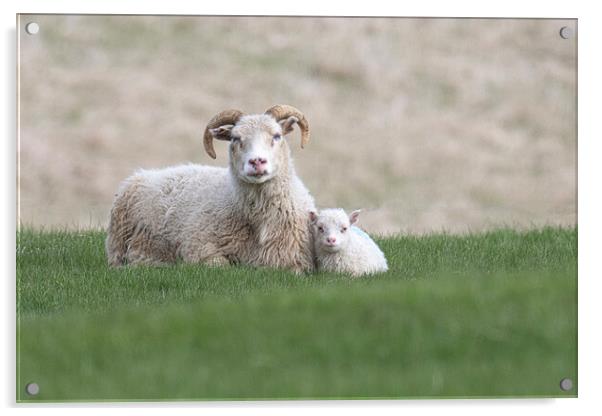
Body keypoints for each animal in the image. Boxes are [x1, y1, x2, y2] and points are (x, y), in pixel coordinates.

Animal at [104, 104, 314, 272]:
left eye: (277, 136)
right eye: (235, 139)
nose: (257, 162)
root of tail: (140, 174)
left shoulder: (296, 259)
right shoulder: (200, 249)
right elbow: (222, 265)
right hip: (118, 244)